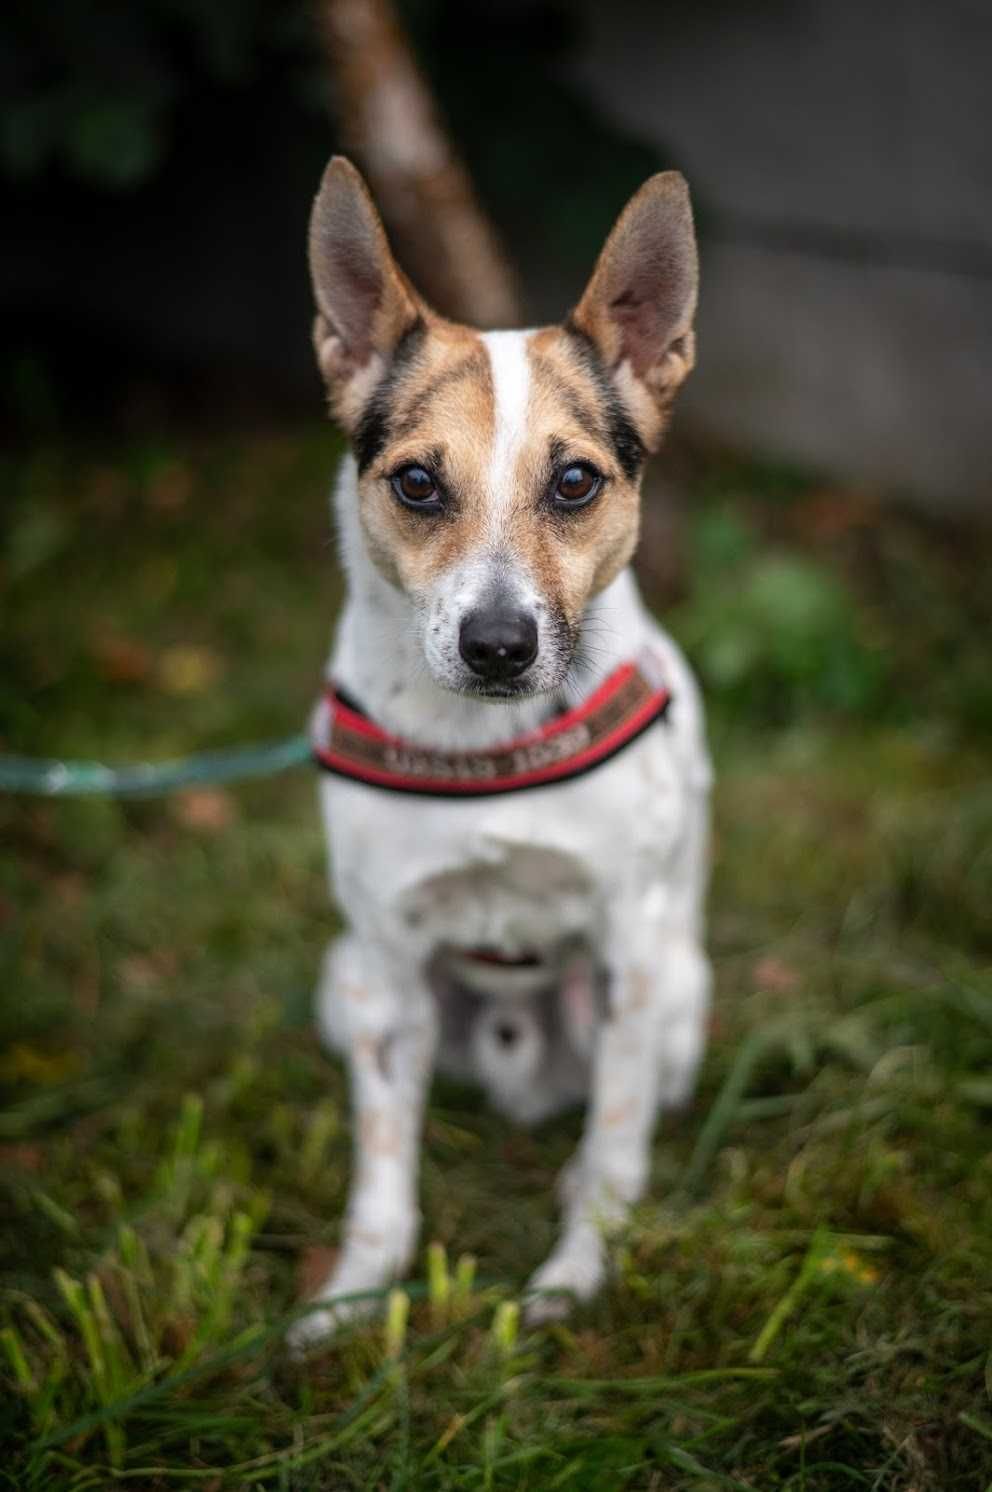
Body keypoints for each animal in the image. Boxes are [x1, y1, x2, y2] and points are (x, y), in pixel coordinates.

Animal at [287, 157, 713, 1348]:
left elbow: (613, 1146)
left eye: (574, 483)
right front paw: (351, 1297)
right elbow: (382, 1173)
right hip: (342, 984)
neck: (483, 751)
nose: (497, 645)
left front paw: (575, 1274)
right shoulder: (386, 969)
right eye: (416, 483)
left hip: (678, 995)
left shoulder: (630, 955)